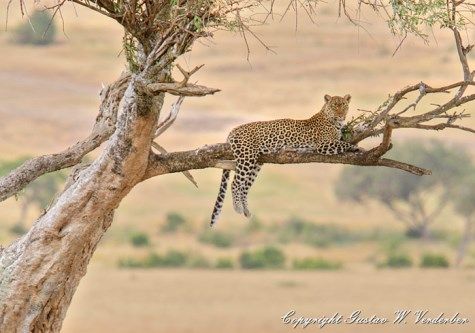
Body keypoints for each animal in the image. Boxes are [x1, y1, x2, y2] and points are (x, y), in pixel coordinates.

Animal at [210, 92, 362, 226]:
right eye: (334, 106)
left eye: (344, 106)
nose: (341, 115)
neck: (332, 120)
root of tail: (234, 129)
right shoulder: (323, 145)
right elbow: (344, 144)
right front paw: (357, 148)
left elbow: (343, 140)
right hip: (246, 157)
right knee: (235, 183)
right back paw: (238, 208)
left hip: (256, 163)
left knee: (244, 187)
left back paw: (246, 210)